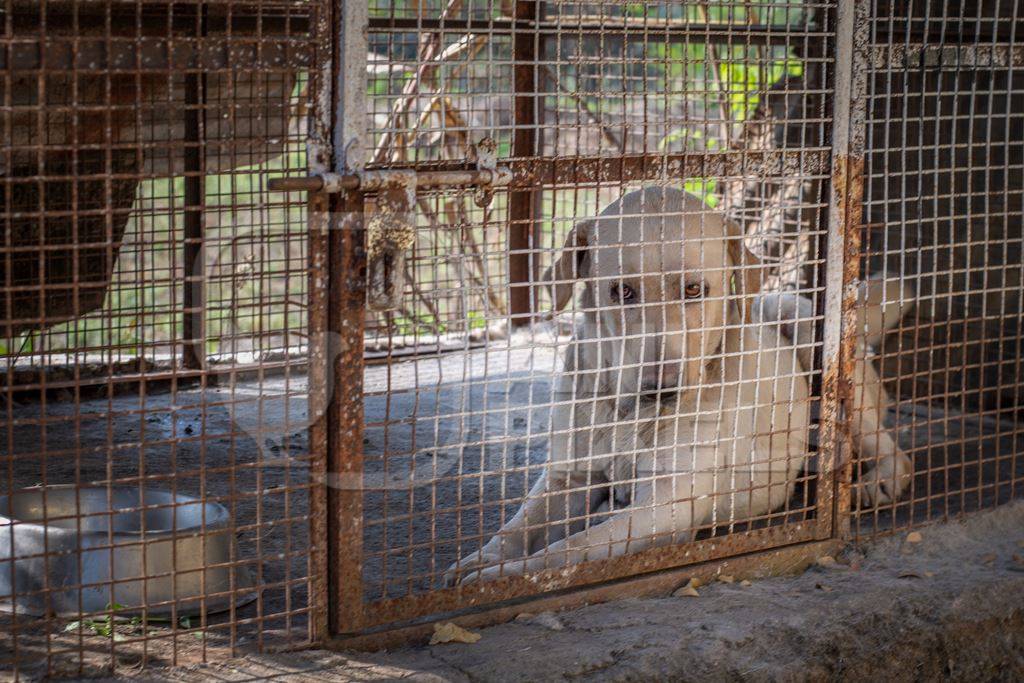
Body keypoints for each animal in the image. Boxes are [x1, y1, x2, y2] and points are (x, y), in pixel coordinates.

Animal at [444, 187, 917, 589]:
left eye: (694, 289)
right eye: (622, 291)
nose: (661, 387)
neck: (629, 413)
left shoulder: (666, 505)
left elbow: (574, 547)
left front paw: (506, 577)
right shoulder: (567, 477)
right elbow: (518, 527)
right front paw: (484, 560)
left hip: (805, 327)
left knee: (893, 450)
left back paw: (879, 481)